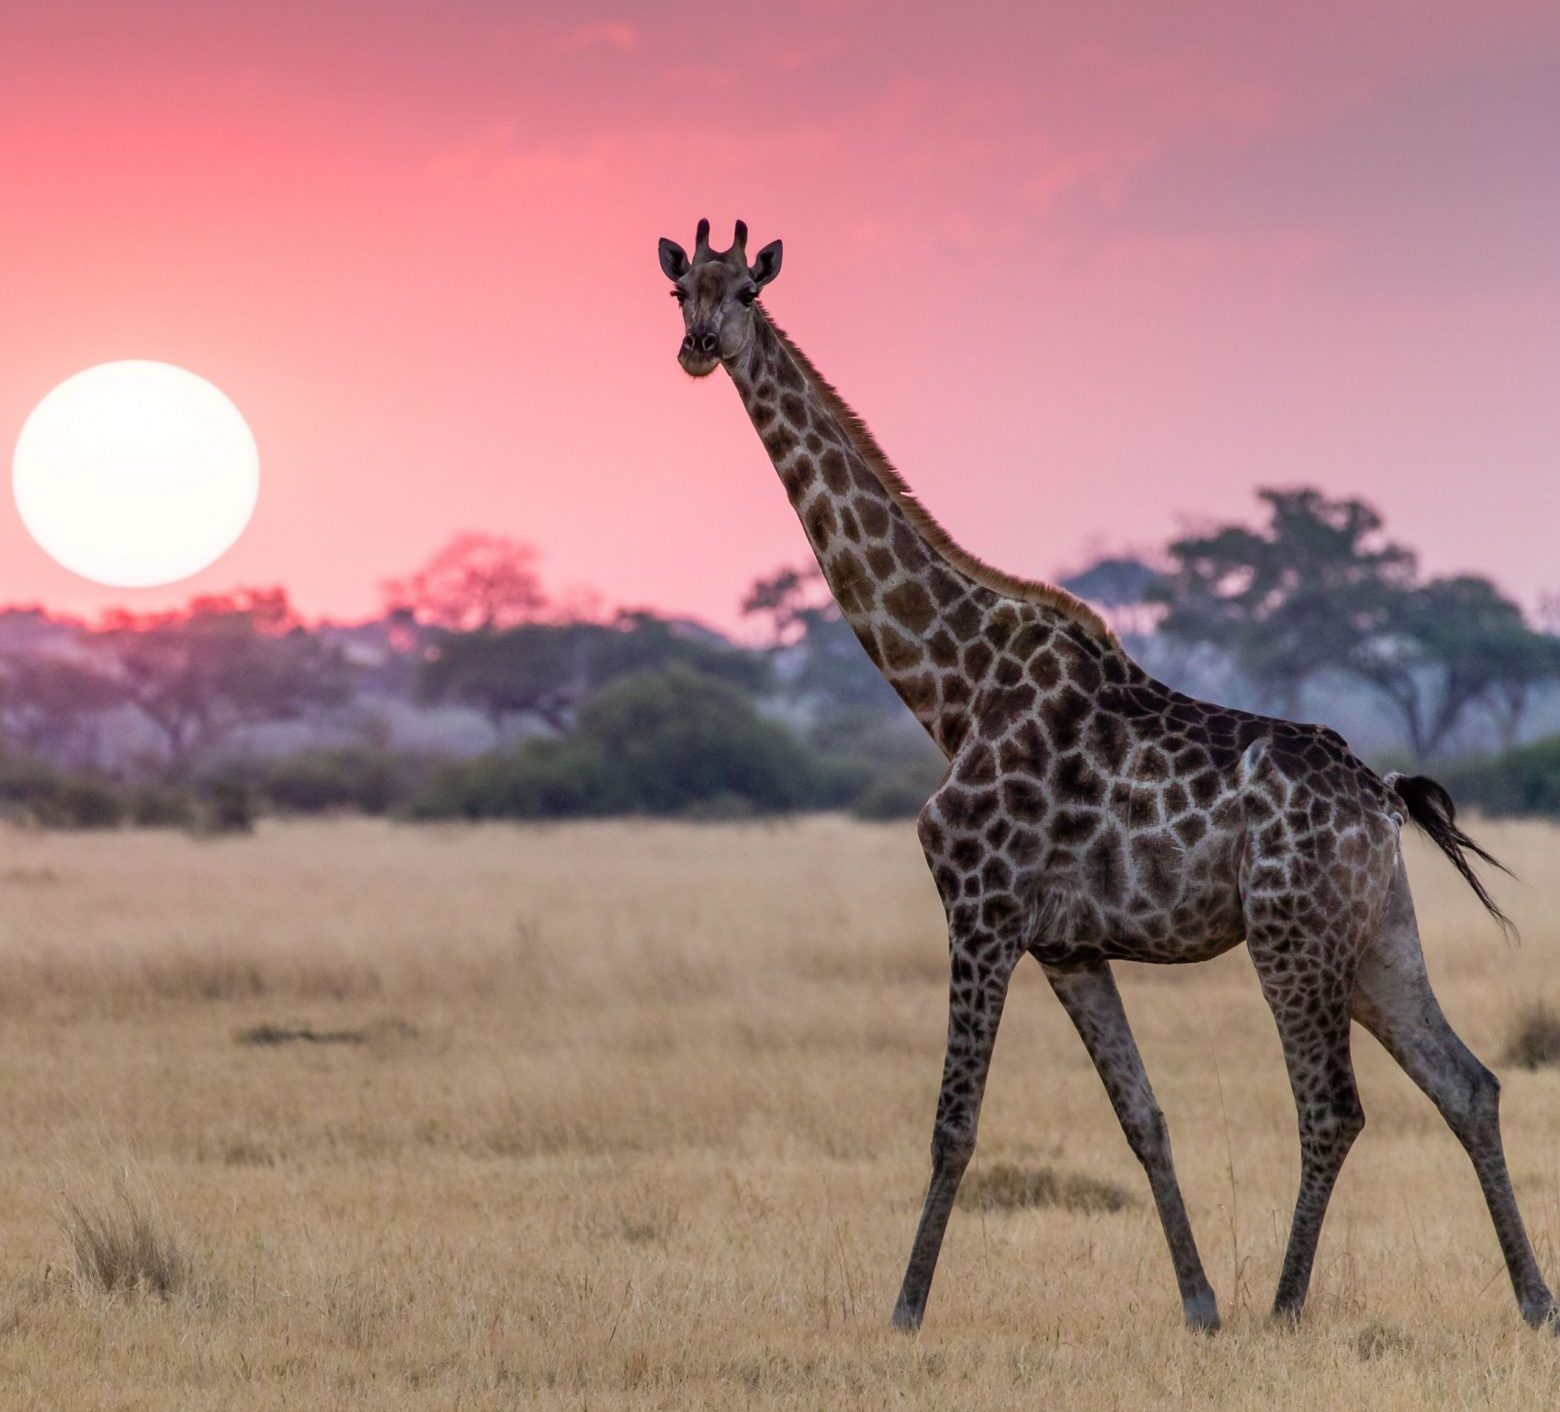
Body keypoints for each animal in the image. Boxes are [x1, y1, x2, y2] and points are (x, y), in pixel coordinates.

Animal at [657, 218, 1557, 1335]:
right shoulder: (1070, 947)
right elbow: (1144, 1117)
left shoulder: (981, 910)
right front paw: (1199, 1304)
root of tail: (1384, 796)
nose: (698, 348)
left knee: (1333, 1108)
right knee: (1467, 1082)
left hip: (1291, 933)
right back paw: (1532, 1299)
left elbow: (954, 1123)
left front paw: (905, 1311)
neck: (951, 686)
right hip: (1377, 932)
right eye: (679, 290)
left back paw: (1286, 1306)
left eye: (745, 290)